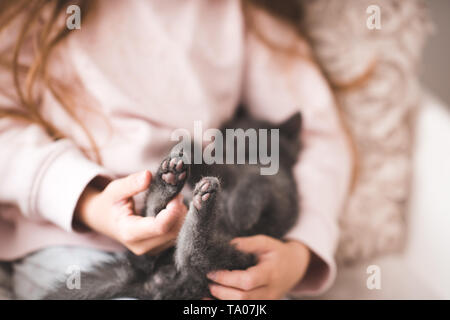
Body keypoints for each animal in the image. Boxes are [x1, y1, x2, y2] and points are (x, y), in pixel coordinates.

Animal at [44, 108, 302, 300]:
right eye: (223, 137)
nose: (223, 144)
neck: (246, 161)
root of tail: (150, 281)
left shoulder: (280, 190)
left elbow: (256, 181)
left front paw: (242, 210)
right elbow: (220, 166)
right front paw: (188, 148)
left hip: (234, 261)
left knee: (197, 256)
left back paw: (202, 204)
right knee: (158, 219)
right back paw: (169, 182)